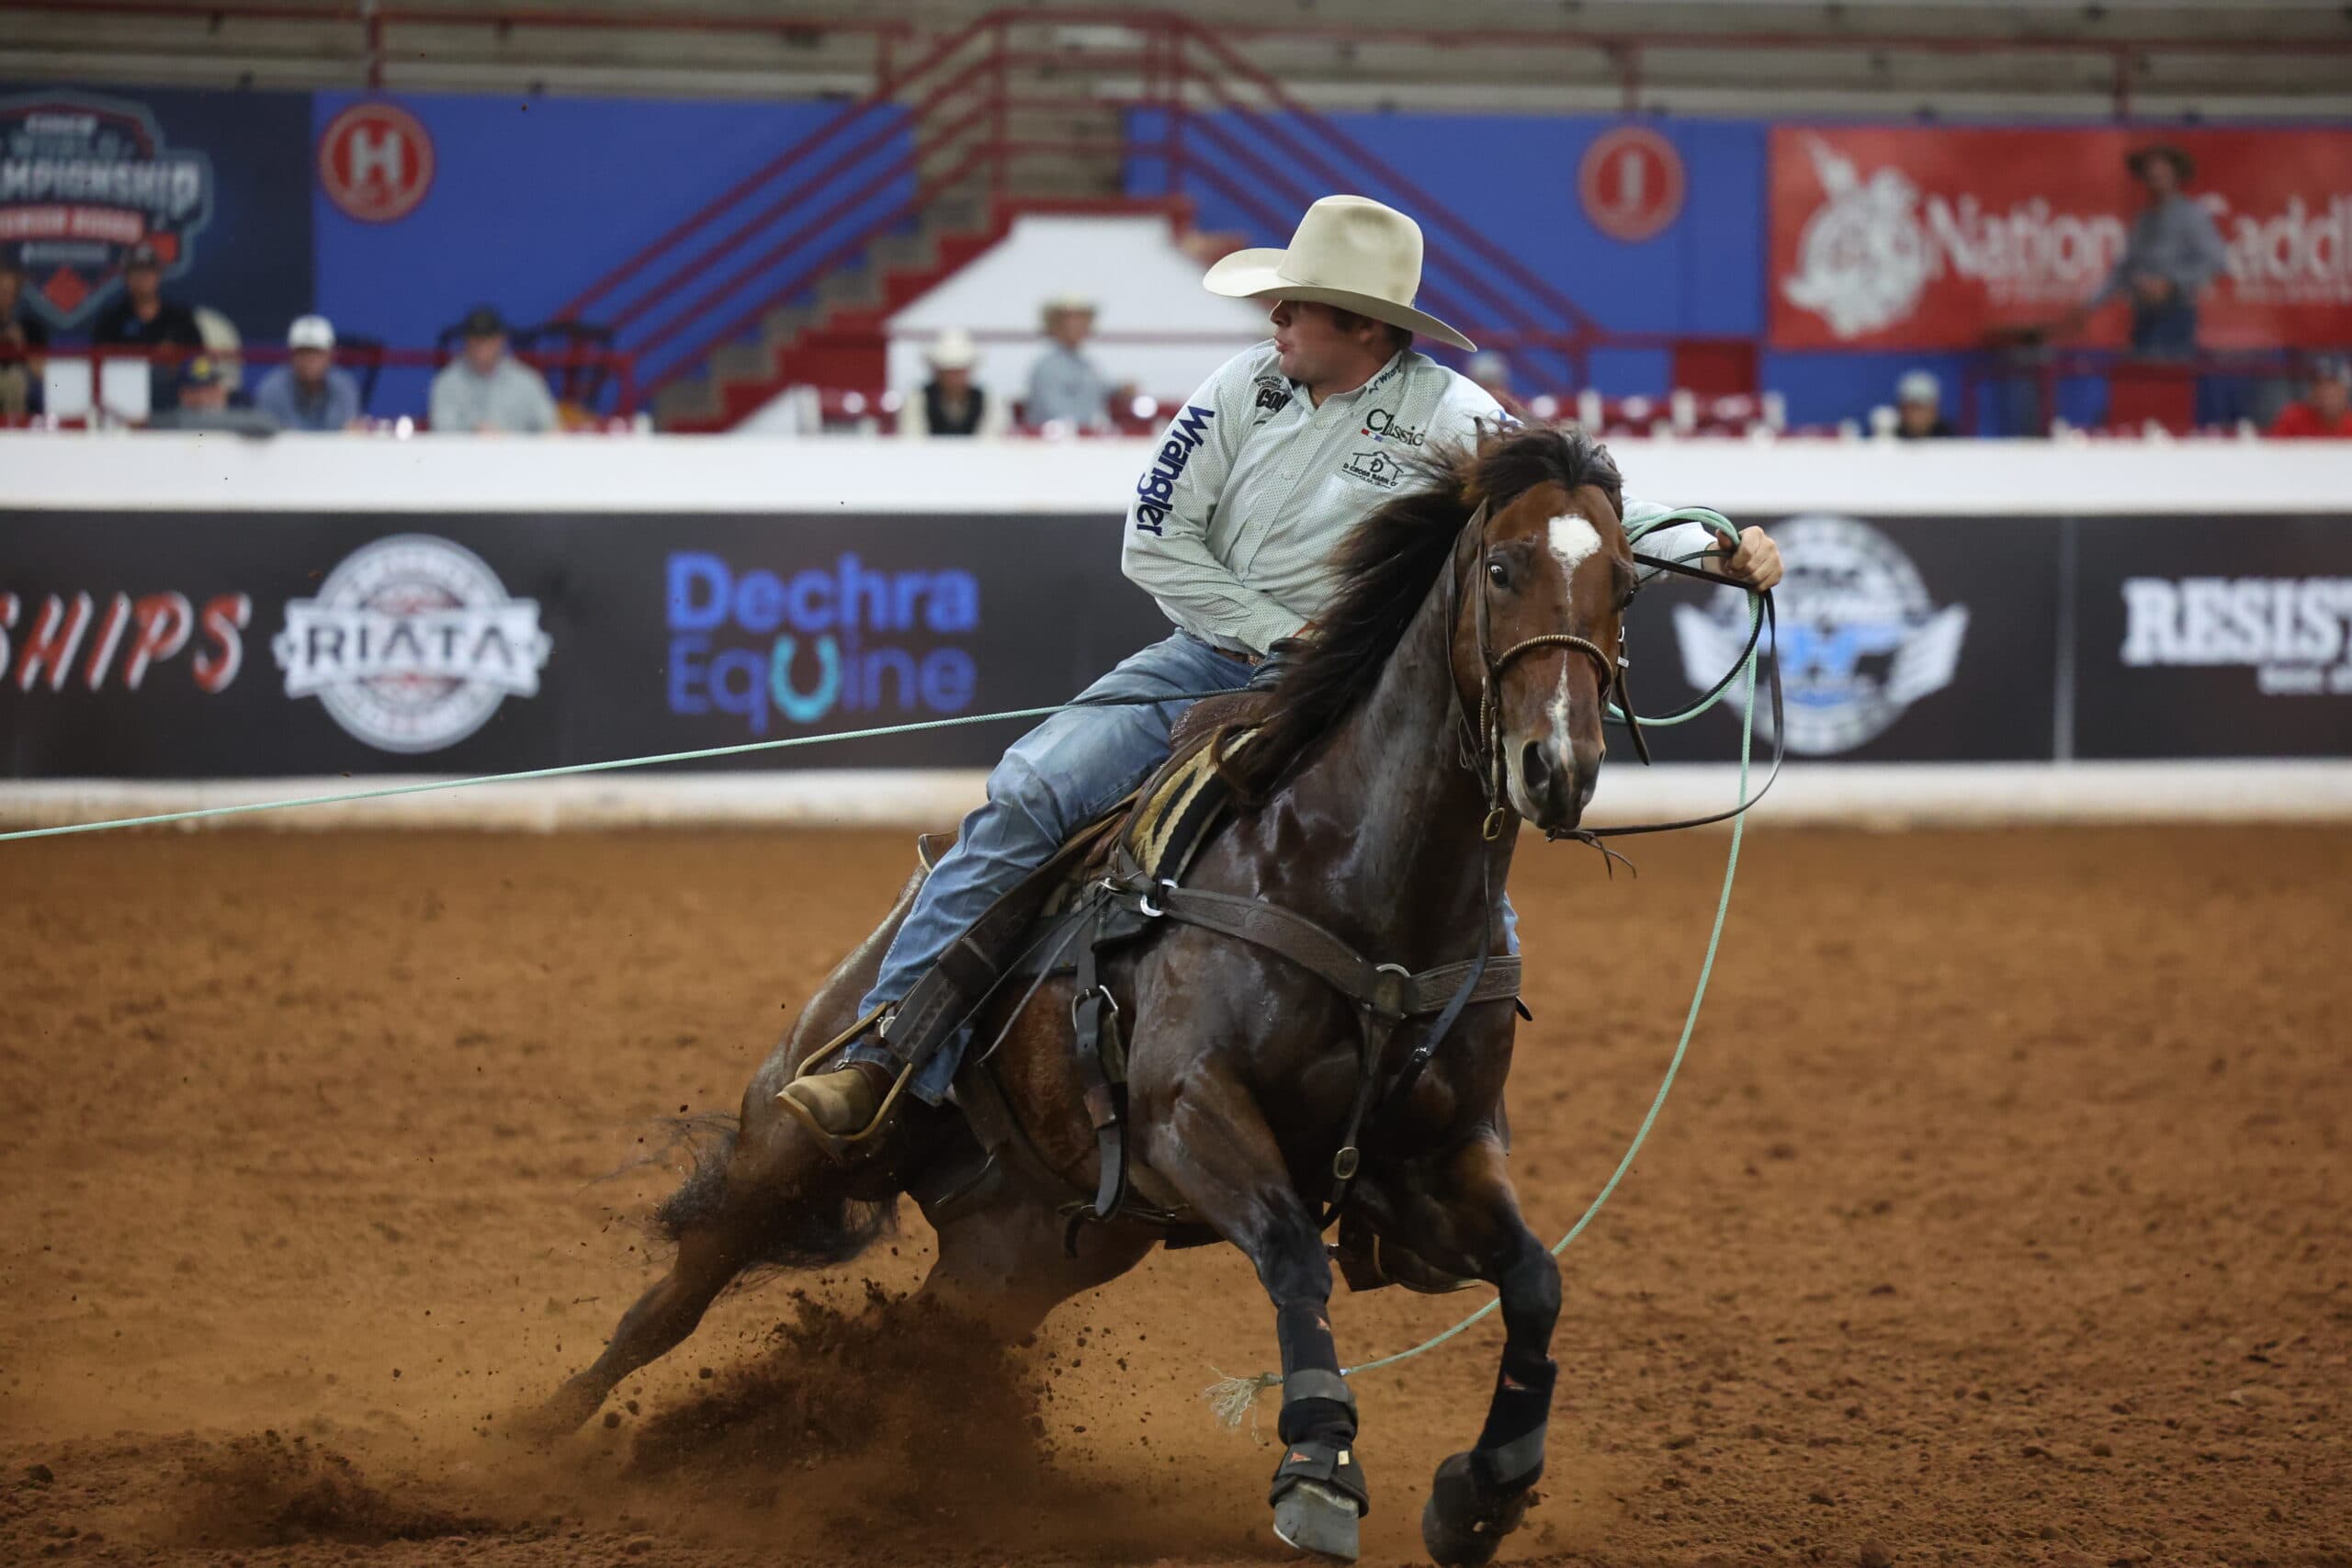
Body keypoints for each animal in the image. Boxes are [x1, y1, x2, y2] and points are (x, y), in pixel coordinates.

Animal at [526, 424, 1643, 1565]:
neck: (1357, 884)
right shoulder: (1188, 1115)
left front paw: (1484, 1492)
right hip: (792, 1148)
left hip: (1023, 1253)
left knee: (916, 1341)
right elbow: (1293, 1255)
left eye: (1625, 582)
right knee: (672, 1301)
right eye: (1502, 568)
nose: (1558, 766)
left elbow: (1535, 1279)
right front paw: (1317, 1466)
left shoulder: (1434, 1157)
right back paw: (523, 1444)